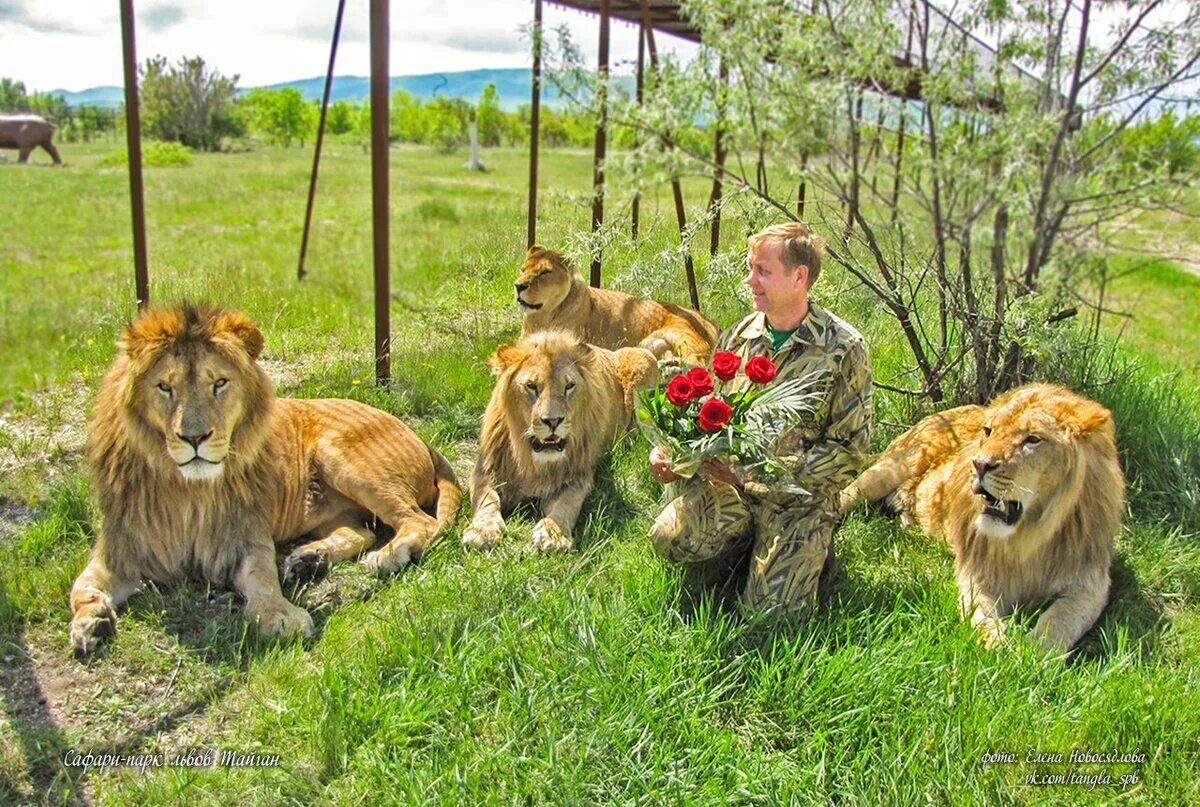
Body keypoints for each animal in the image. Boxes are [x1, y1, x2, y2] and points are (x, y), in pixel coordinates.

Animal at [66, 302, 458, 653]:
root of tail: (419, 436)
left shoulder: (246, 536)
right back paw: (308, 561)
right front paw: (90, 623)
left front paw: (281, 617)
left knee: (418, 521)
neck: (186, 490)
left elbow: (263, 580)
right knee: (359, 532)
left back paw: (387, 556)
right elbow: (80, 586)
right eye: (165, 387)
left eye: (219, 384)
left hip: (343, 457)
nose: (194, 438)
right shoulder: (120, 547)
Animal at [463, 331, 662, 552]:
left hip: (642, 360)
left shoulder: (577, 476)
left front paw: (553, 534)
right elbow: (486, 498)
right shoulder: (485, 468)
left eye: (569, 386)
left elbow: (566, 504)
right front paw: (482, 531)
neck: (532, 460)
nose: (553, 421)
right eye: (531, 386)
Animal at [518, 243, 720, 367]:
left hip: (683, 337)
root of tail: (708, 319)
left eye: (544, 272)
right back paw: (668, 366)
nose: (518, 286)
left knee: (698, 363)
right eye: (523, 270)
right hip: (651, 345)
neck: (541, 316)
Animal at [835, 381, 1123, 653]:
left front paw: (1031, 653)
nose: (979, 464)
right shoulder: (979, 572)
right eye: (989, 431)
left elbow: (1059, 621)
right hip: (887, 471)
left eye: (1032, 439)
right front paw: (1001, 650)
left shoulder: (1090, 585)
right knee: (842, 496)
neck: (1031, 536)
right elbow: (981, 617)